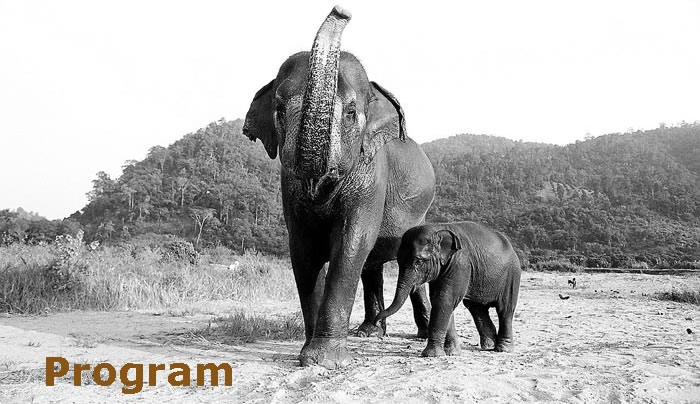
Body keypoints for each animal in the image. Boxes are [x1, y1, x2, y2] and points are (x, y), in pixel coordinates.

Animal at [242, 6, 436, 368]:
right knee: (372, 265)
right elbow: (303, 248)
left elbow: (350, 242)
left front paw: (326, 361)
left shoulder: (372, 175)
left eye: (350, 112)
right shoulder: (289, 186)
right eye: (279, 111)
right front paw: (309, 355)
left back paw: (415, 334)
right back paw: (370, 333)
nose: (341, 10)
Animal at [374, 221, 522, 357]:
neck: (438, 228)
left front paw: (432, 355)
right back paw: (489, 346)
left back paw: (503, 349)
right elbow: (440, 300)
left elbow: (444, 299)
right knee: (476, 308)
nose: (377, 324)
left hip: (512, 276)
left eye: (418, 262)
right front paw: (452, 353)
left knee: (504, 309)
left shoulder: (460, 263)